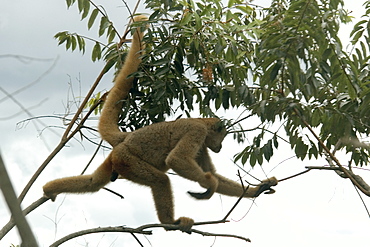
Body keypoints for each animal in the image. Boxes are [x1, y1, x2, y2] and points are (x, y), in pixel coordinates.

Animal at [42, 14, 278, 233]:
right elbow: (176, 160)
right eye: (223, 137)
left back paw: (49, 189)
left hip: (117, 159)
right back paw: (170, 222)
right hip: (128, 160)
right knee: (160, 180)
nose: (220, 147)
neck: (201, 120)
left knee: (92, 183)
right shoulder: (198, 131)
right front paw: (208, 183)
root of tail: (126, 138)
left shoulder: (202, 144)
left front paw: (257, 189)